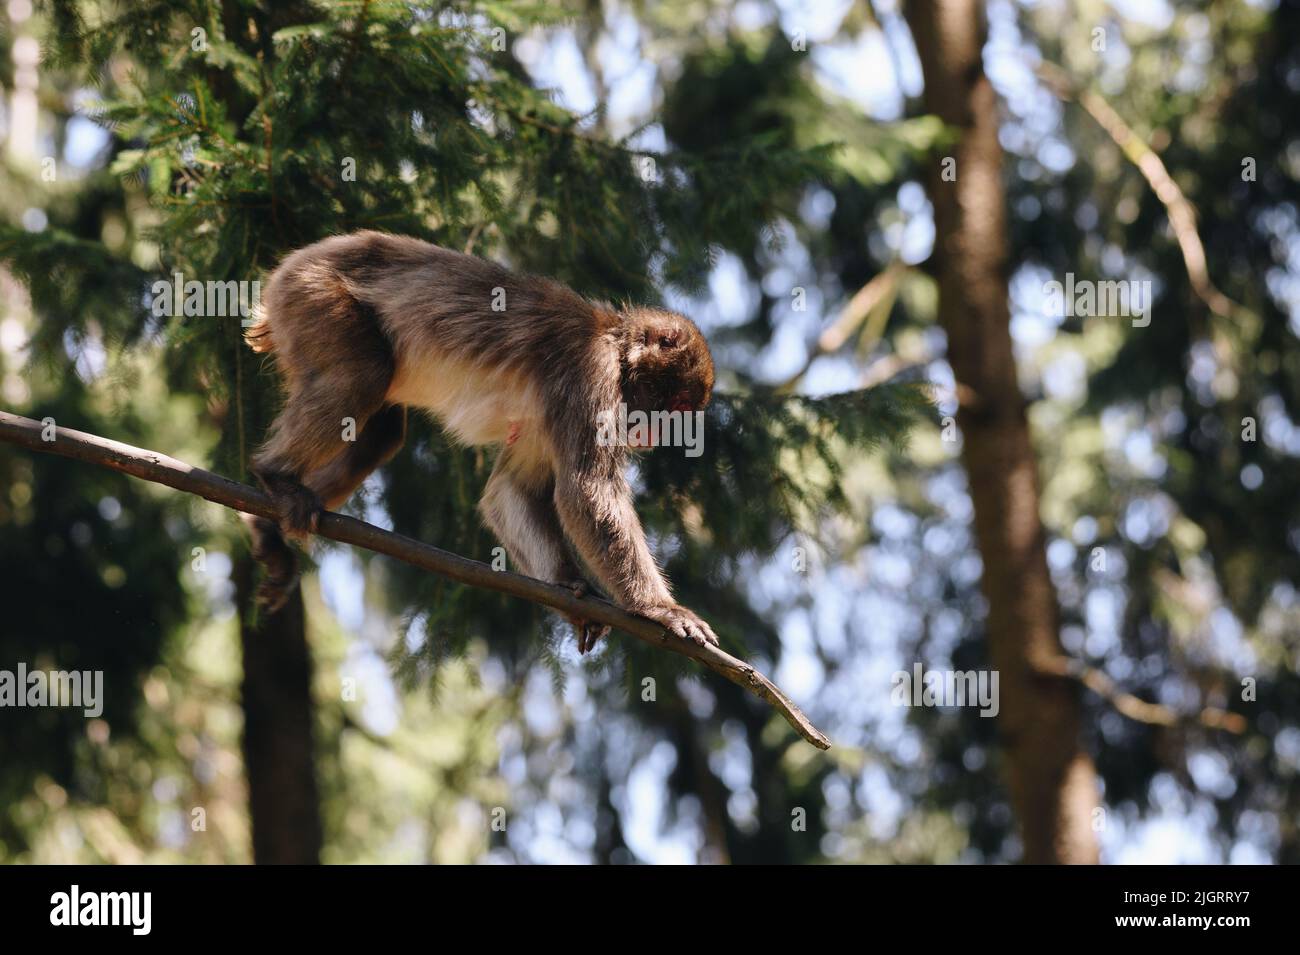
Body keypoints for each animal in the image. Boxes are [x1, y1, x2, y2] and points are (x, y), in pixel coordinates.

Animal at [239, 231, 717, 654]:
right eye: (674, 403)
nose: (658, 430)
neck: (615, 347)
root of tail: (299, 261)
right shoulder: (590, 374)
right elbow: (587, 490)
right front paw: (659, 609)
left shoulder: (548, 413)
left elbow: (510, 491)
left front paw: (568, 588)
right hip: (315, 296)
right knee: (362, 378)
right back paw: (275, 476)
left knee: (381, 432)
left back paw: (269, 527)